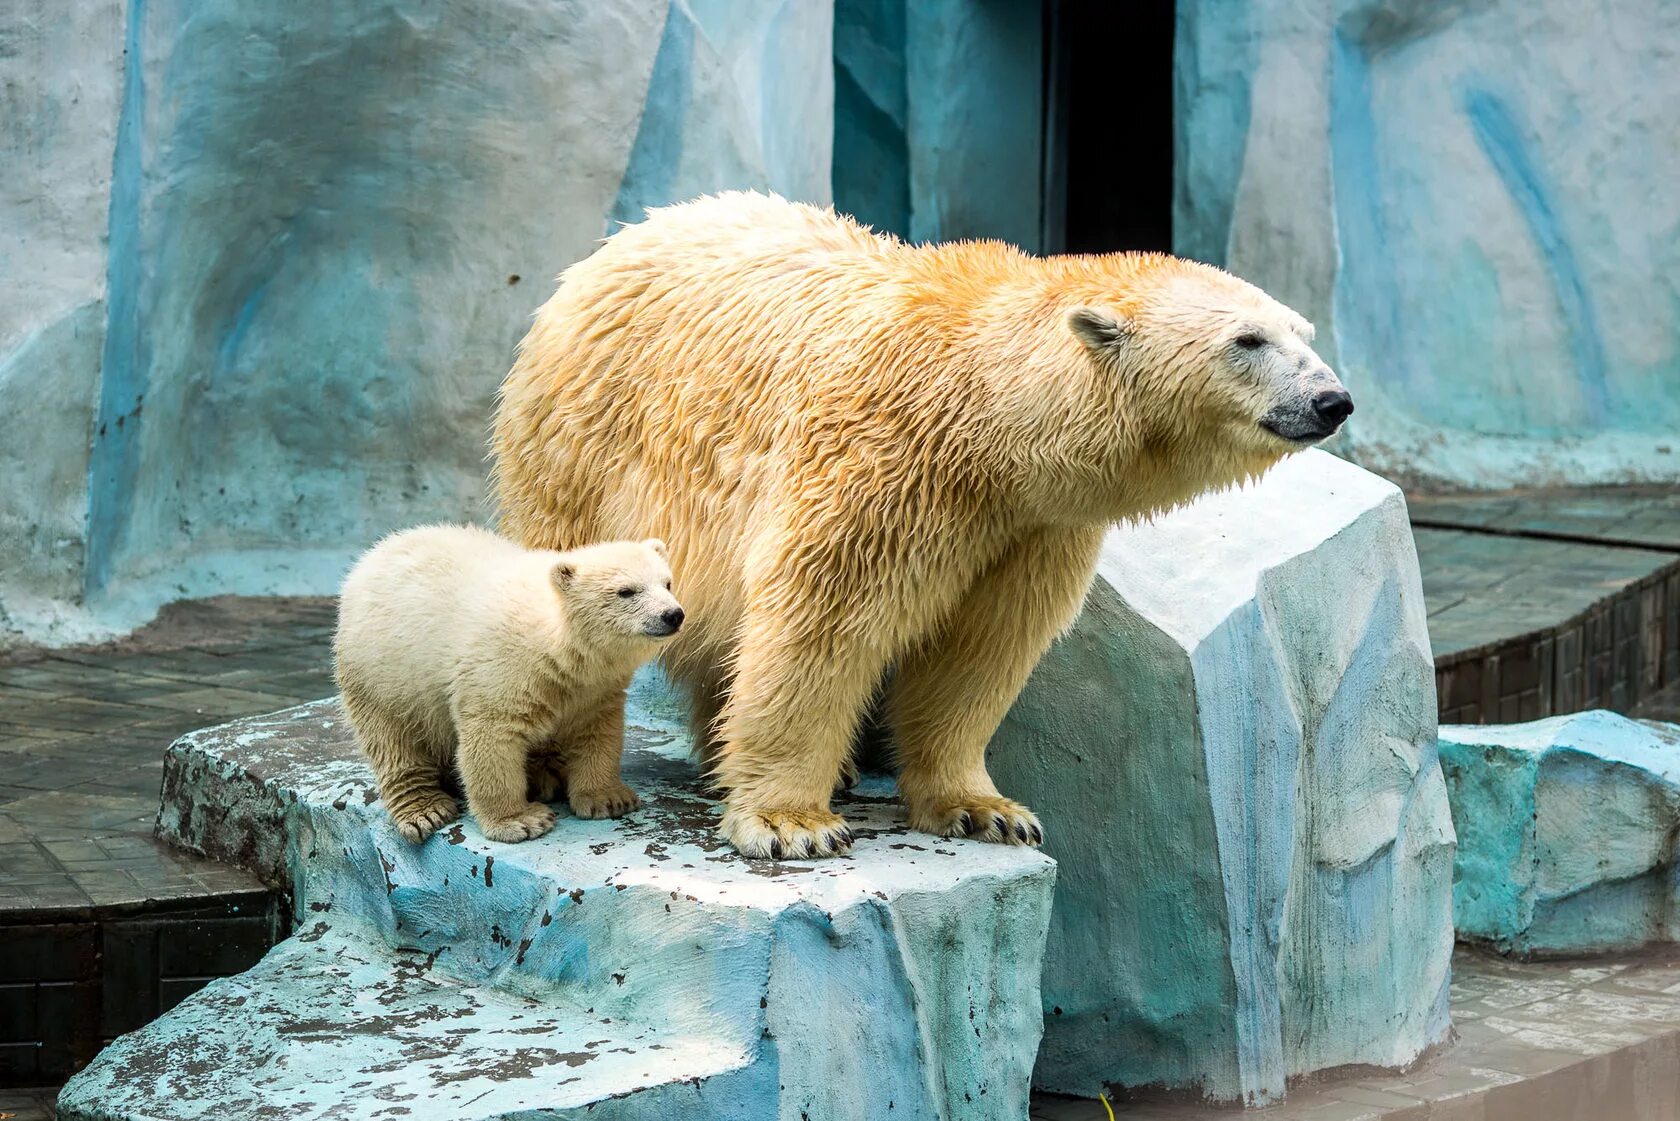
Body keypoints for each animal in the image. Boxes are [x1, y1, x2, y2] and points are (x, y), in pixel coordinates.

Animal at [490, 193, 1357, 860]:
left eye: (1304, 334)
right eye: (1247, 340)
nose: (1332, 400)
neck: (986, 409)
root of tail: (609, 248)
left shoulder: (1031, 525)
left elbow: (983, 645)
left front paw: (987, 808)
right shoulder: (885, 468)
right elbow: (823, 619)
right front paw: (791, 821)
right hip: (580, 447)